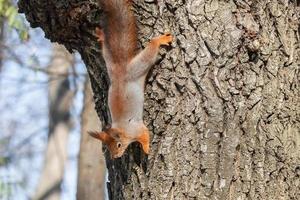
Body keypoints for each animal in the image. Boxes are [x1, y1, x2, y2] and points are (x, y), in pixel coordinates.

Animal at [89, 0, 172, 159]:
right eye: (107, 147)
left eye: (118, 145)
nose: (115, 157)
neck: (123, 129)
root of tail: (121, 69)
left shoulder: (137, 128)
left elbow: (145, 134)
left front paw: (146, 149)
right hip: (109, 62)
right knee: (105, 49)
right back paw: (101, 36)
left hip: (138, 67)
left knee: (151, 49)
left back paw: (160, 40)